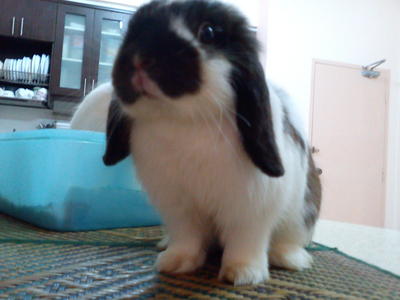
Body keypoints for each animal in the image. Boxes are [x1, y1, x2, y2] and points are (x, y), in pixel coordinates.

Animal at [79, 0, 322, 286]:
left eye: (208, 32)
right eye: (131, 29)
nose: (140, 57)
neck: (184, 121)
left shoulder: (250, 208)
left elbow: (245, 241)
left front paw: (243, 274)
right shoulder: (178, 207)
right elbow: (188, 237)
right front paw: (175, 263)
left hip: (300, 215)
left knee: (289, 239)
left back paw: (291, 259)